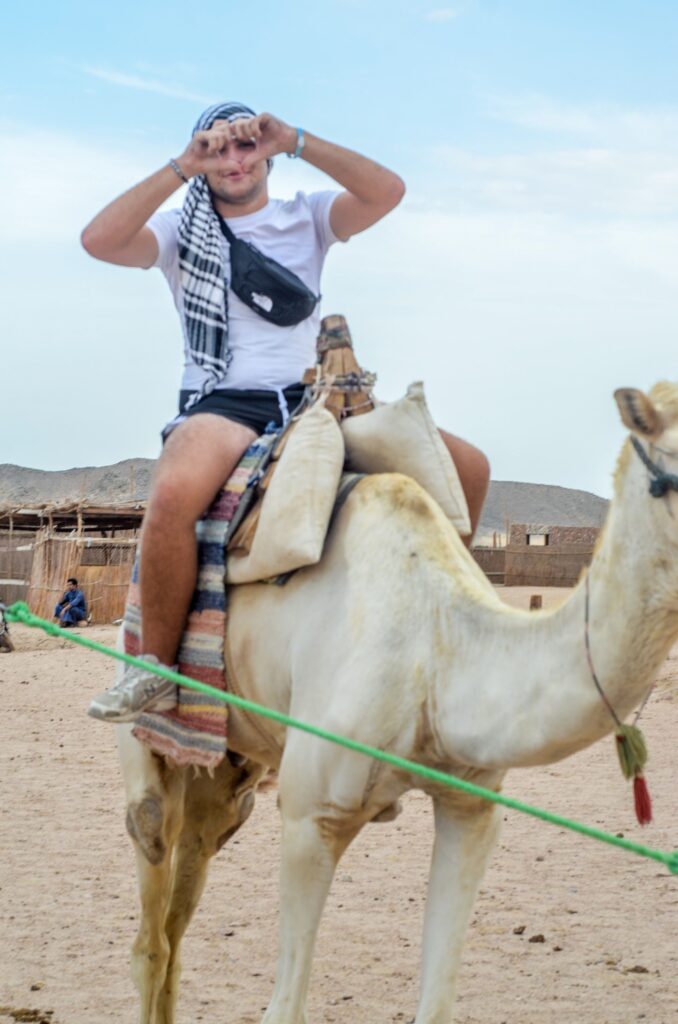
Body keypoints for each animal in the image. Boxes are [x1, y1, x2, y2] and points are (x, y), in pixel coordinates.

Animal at [117, 382, 678, 1024]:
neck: (436, 645)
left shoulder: (471, 806)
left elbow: (436, 1002)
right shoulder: (312, 816)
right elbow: (284, 1007)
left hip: (231, 770)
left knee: (187, 894)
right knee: (151, 903)